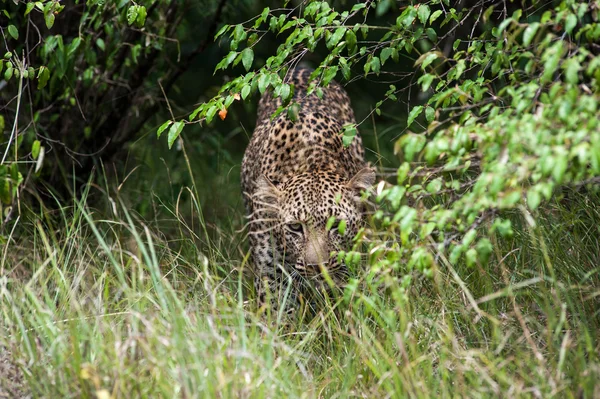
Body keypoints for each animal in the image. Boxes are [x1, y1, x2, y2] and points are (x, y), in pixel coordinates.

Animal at [240, 67, 372, 314]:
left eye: (335, 224)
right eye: (295, 227)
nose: (317, 267)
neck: (311, 161)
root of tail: (301, 68)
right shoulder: (270, 274)